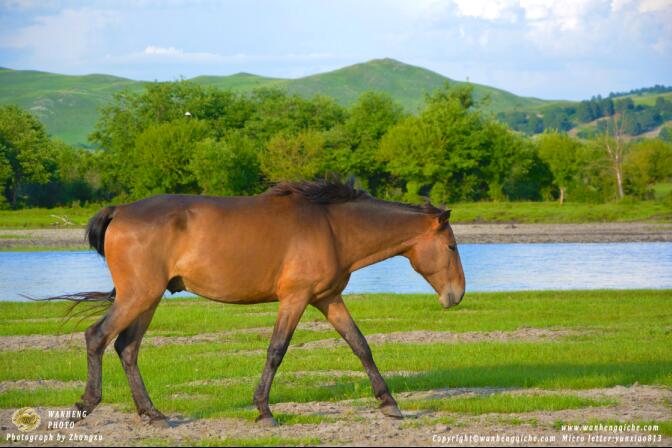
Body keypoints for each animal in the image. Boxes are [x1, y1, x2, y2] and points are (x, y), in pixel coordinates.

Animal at [60, 179, 464, 428]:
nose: (456, 295)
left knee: (127, 348)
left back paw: (152, 413)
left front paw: (389, 403)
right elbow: (276, 350)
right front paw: (264, 410)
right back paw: (86, 404)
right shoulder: (295, 299)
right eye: (451, 246)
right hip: (139, 296)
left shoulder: (327, 299)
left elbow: (360, 346)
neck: (332, 228)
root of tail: (121, 210)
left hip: (148, 299)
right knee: (97, 337)